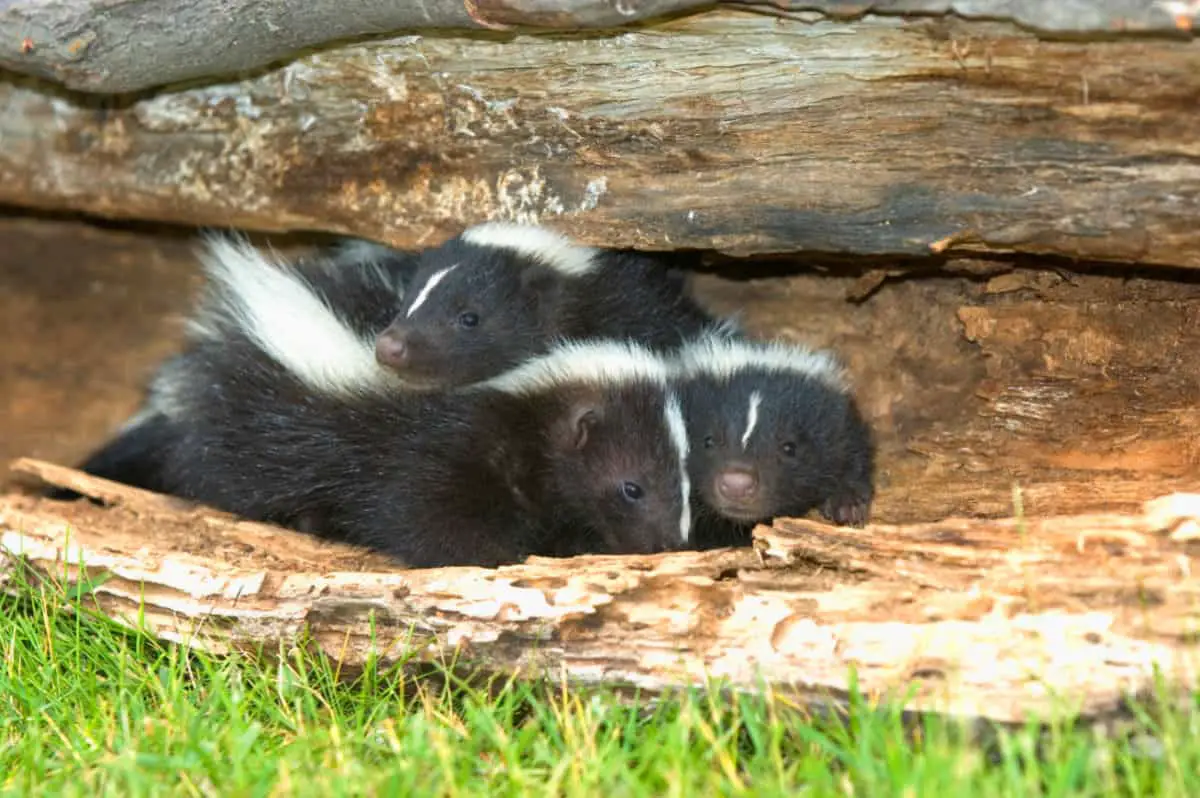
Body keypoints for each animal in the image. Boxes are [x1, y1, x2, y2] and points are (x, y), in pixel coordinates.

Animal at [75, 236, 696, 566]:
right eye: (632, 487)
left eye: (687, 481)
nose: (670, 544)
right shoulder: (436, 455)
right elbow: (432, 523)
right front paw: (507, 557)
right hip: (255, 427)